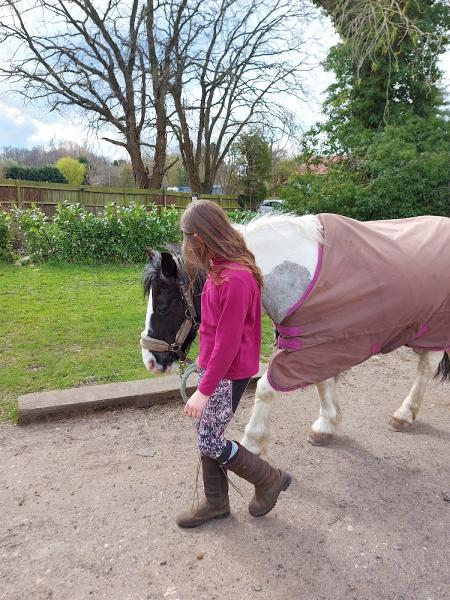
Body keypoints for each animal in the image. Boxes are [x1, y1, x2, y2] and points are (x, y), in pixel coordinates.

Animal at [141, 213, 450, 452]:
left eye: (163, 304)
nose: (150, 360)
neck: (297, 275)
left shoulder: (314, 348)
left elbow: (266, 388)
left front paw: (252, 442)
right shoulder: (318, 344)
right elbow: (322, 382)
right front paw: (325, 425)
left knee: (426, 367)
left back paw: (404, 415)